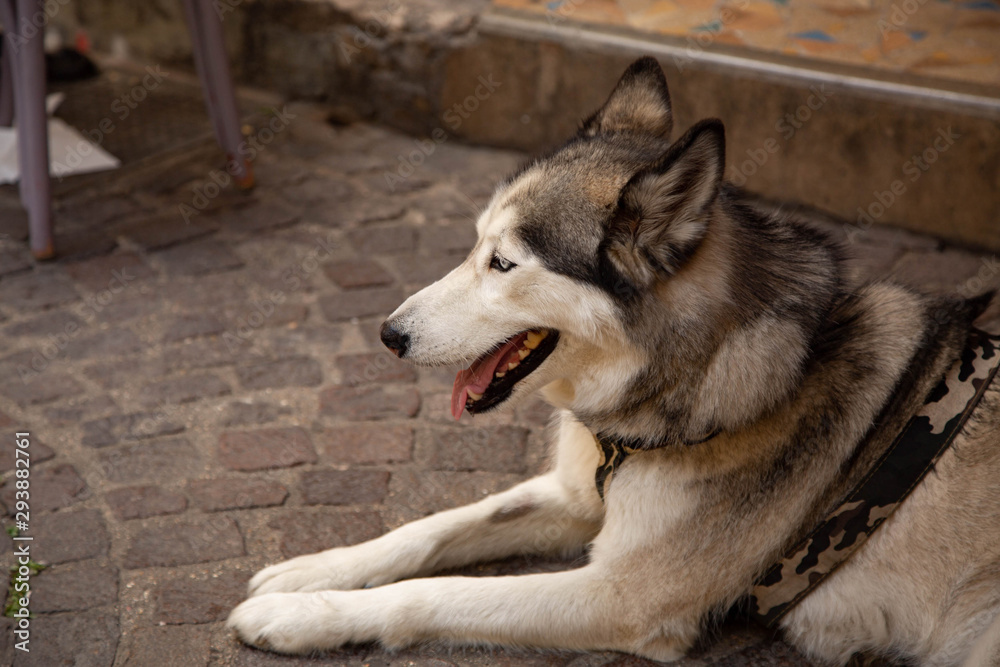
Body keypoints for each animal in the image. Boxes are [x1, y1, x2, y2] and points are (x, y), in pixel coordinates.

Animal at [229, 58, 1000, 667]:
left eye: (502, 263)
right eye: (474, 244)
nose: (389, 334)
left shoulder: (623, 596)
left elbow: (437, 592)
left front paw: (300, 617)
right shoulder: (576, 497)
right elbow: (433, 528)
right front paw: (312, 572)